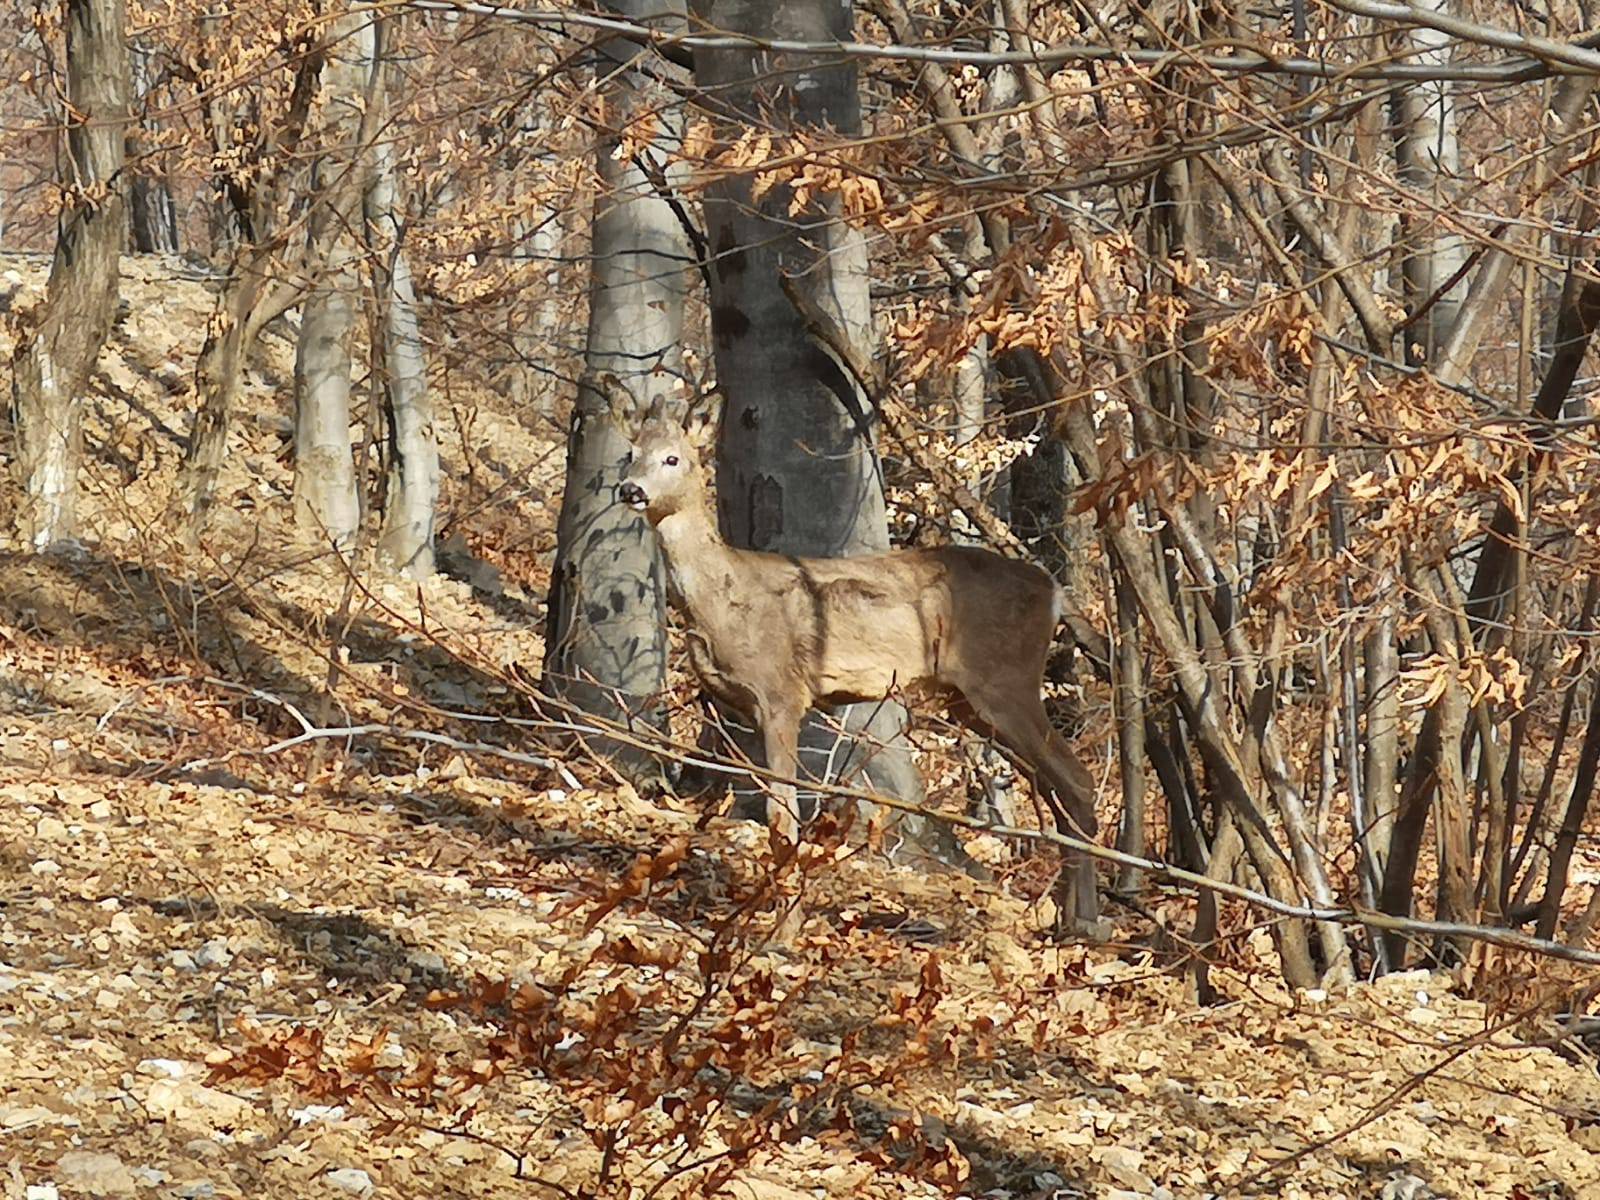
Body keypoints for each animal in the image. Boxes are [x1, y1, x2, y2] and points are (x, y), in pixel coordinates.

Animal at [617, 409, 1107, 928]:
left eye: (673, 458)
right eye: (631, 453)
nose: (630, 489)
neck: (721, 600)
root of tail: (1053, 591)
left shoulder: (781, 693)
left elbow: (782, 813)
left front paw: (783, 926)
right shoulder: (745, 705)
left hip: (1006, 680)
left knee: (1075, 779)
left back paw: (1087, 921)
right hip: (969, 699)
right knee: (1053, 786)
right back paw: (1067, 916)